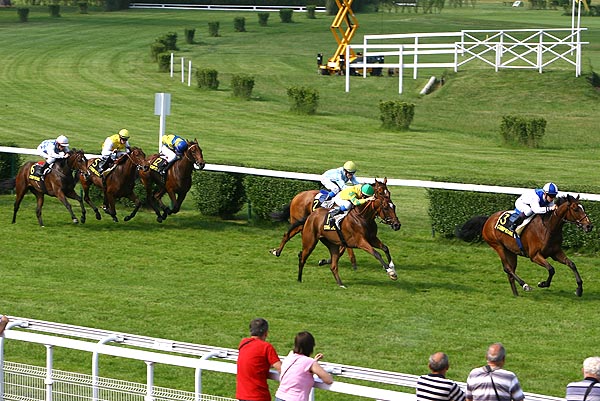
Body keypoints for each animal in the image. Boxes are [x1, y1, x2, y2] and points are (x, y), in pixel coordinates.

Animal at [458, 195, 592, 296]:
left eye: (583, 207)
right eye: (575, 209)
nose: (589, 226)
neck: (548, 228)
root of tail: (488, 219)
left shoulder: (555, 252)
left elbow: (572, 264)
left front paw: (579, 289)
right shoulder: (534, 256)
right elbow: (551, 269)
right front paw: (543, 284)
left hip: (511, 251)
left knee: (510, 271)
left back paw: (516, 294)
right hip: (498, 246)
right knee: (507, 268)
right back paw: (525, 285)